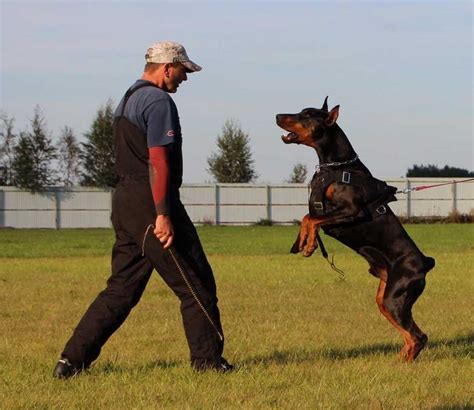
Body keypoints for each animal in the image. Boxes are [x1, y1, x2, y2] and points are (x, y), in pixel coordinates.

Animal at [276, 97, 436, 360]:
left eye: (307, 114)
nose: (277, 115)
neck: (335, 166)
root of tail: (425, 263)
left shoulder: (353, 210)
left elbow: (312, 219)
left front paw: (309, 245)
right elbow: (307, 216)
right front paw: (304, 242)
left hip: (396, 296)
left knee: (418, 336)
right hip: (384, 297)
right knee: (411, 336)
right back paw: (399, 360)